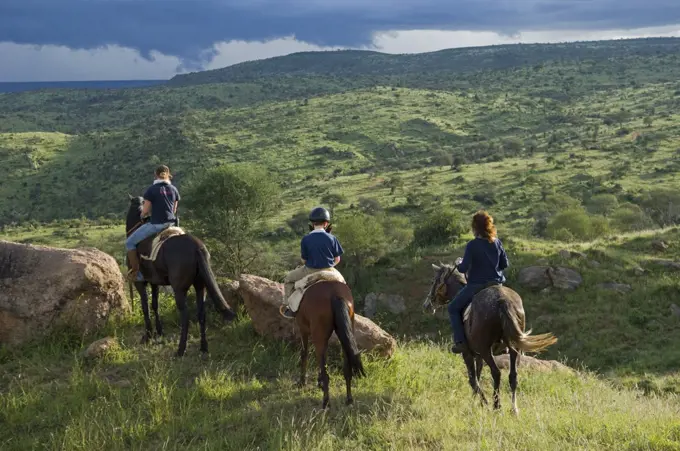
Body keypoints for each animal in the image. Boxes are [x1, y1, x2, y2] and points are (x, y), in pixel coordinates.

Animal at [125, 196, 236, 358]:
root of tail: (196, 247)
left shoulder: (140, 282)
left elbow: (145, 307)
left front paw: (148, 335)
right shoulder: (154, 282)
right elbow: (154, 305)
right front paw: (159, 331)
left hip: (179, 289)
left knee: (185, 317)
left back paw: (180, 350)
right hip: (200, 286)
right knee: (201, 314)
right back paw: (203, 348)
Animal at [294, 280, 364, 408]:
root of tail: (335, 295)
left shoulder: (303, 329)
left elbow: (304, 353)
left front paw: (302, 382)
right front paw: (318, 381)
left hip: (318, 335)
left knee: (325, 371)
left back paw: (326, 402)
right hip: (346, 335)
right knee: (347, 369)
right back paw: (349, 400)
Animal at [424, 264, 556, 414]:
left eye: (433, 281)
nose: (426, 305)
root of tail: (502, 300)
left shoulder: (468, 353)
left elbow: (473, 379)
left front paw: (482, 403)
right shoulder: (478, 355)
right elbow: (478, 375)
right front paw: (475, 401)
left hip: (486, 350)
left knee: (496, 373)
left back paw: (496, 405)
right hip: (513, 349)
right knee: (513, 376)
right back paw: (514, 409)